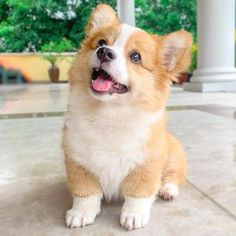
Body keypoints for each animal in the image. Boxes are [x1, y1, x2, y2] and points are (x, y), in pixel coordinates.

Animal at [62, 2, 192, 230]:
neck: (110, 115)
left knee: (173, 176)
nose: (104, 52)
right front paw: (80, 213)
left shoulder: (146, 165)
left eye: (135, 57)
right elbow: (86, 193)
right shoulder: (78, 161)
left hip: (174, 158)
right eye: (101, 43)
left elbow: (138, 193)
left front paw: (133, 216)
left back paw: (167, 190)